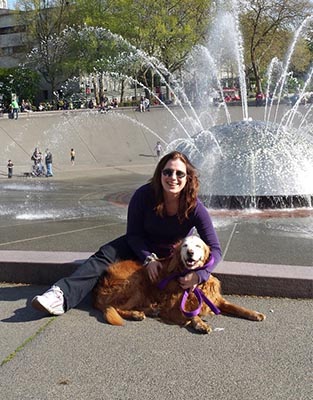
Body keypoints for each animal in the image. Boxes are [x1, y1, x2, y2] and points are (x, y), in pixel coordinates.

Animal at [92, 236, 264, 332]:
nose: (190, 253)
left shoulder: (215, 299)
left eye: (197, 246)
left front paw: (253, 313)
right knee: (115, 307)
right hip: (136, 282)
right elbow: (190, 314)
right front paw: (200, 324)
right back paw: (136, 314)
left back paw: (150, 310)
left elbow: (236, 307)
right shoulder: (173, 305)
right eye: (185, 246)